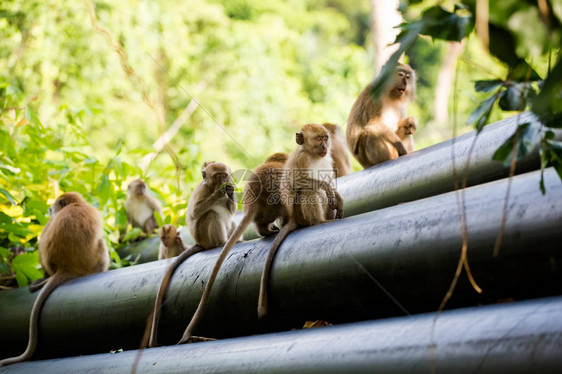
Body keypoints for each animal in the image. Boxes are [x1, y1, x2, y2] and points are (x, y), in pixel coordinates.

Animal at [0, 191, 108, 366]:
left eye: (54, 207)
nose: (50, 209)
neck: (76, 204)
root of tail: (66, 268)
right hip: (95, 262)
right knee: (101, 243)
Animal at [143, 162, 235, 350]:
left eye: (225, 175)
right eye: (217, 176)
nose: (223, 181)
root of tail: (201, 243)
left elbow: (232, 209)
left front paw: (230, 192)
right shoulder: (203, 191)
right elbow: (195, 212)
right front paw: (218, 193)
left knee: (233, 222)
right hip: (205, 236)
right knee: (210, 215)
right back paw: (221, 243)